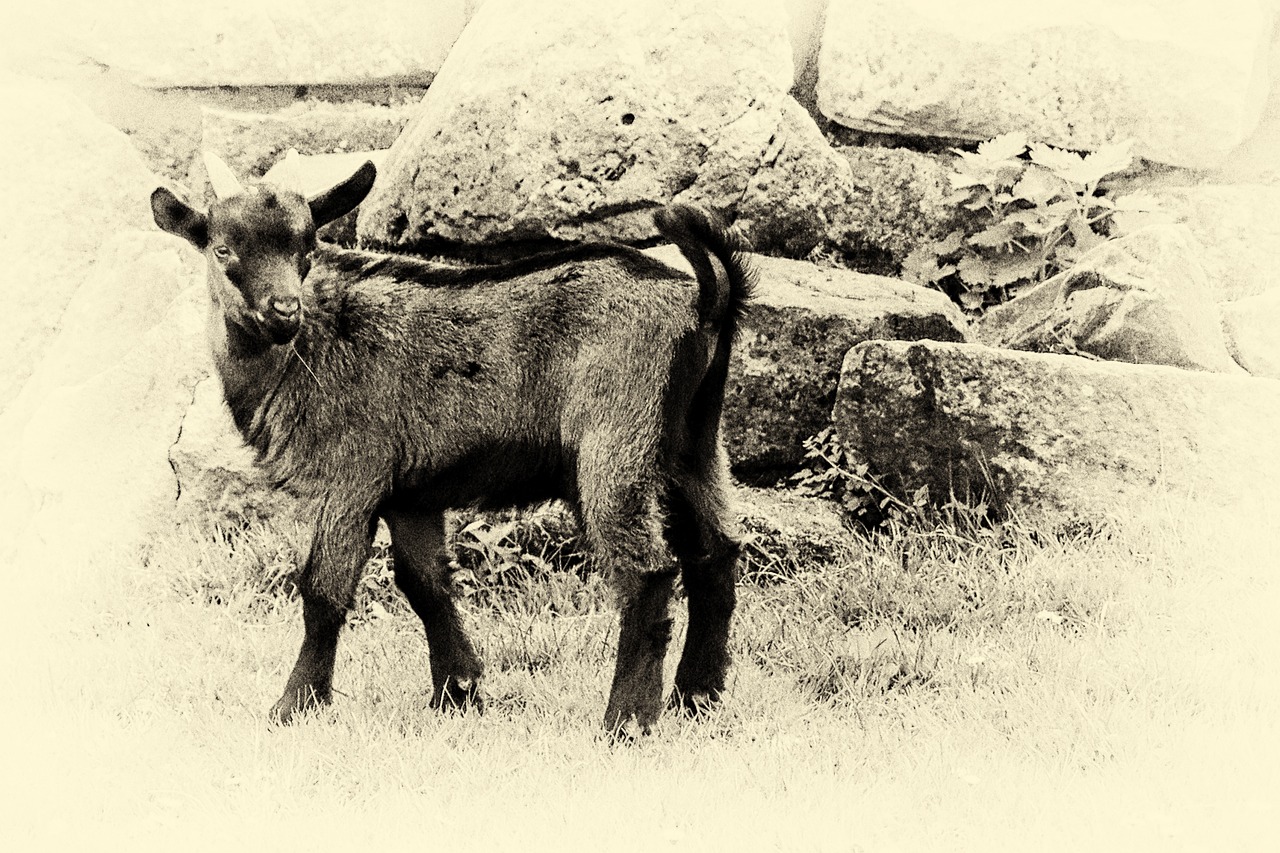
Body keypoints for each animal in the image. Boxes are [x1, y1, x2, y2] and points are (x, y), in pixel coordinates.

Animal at [151, 154, 752, 732]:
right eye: (223, 249)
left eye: (307, 246)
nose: (283, 310)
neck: (310, 347)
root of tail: (705, 300)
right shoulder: (410, 494)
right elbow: (426, 585)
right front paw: (458, 694)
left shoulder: (351, 475)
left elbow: (323, 590)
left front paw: (294, 705)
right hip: (692, 444)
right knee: (715, 554)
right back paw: (695, 698)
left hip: (617, 438)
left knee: (647, 572)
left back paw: (627, 720)